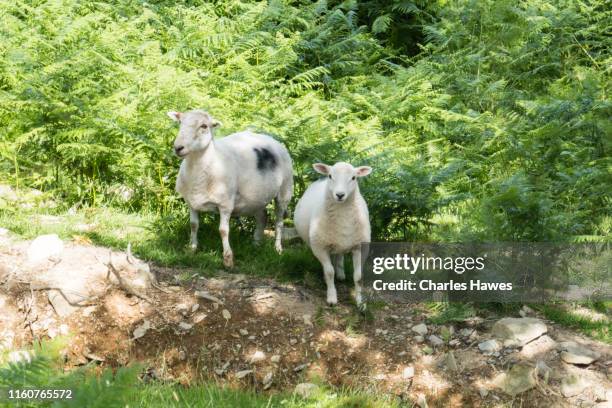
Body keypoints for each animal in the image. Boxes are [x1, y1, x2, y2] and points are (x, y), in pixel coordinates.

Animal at [166, 110, 292, 268]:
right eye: (180, 122)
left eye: (204, 126)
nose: (178, 147)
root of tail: (270, 138)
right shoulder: (191, 202)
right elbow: (194, 225)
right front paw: (192, 248)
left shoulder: (225, 204)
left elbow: (223, 230)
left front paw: (228, 258)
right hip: (256, 198)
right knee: (262, 217)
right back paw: (256, 244)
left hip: (284, 191)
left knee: (279, 222)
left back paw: (278, 249)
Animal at [292, 163, 372, 306]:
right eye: (330, 176)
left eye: (354, 177)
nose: (340, 195)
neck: (343, 215)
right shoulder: (320, 247)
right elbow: (329, 272)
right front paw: (332, 297)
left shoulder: (360, 247)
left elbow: (358, 277)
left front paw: (360, 303)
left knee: (339, 255)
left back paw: (340, 274)